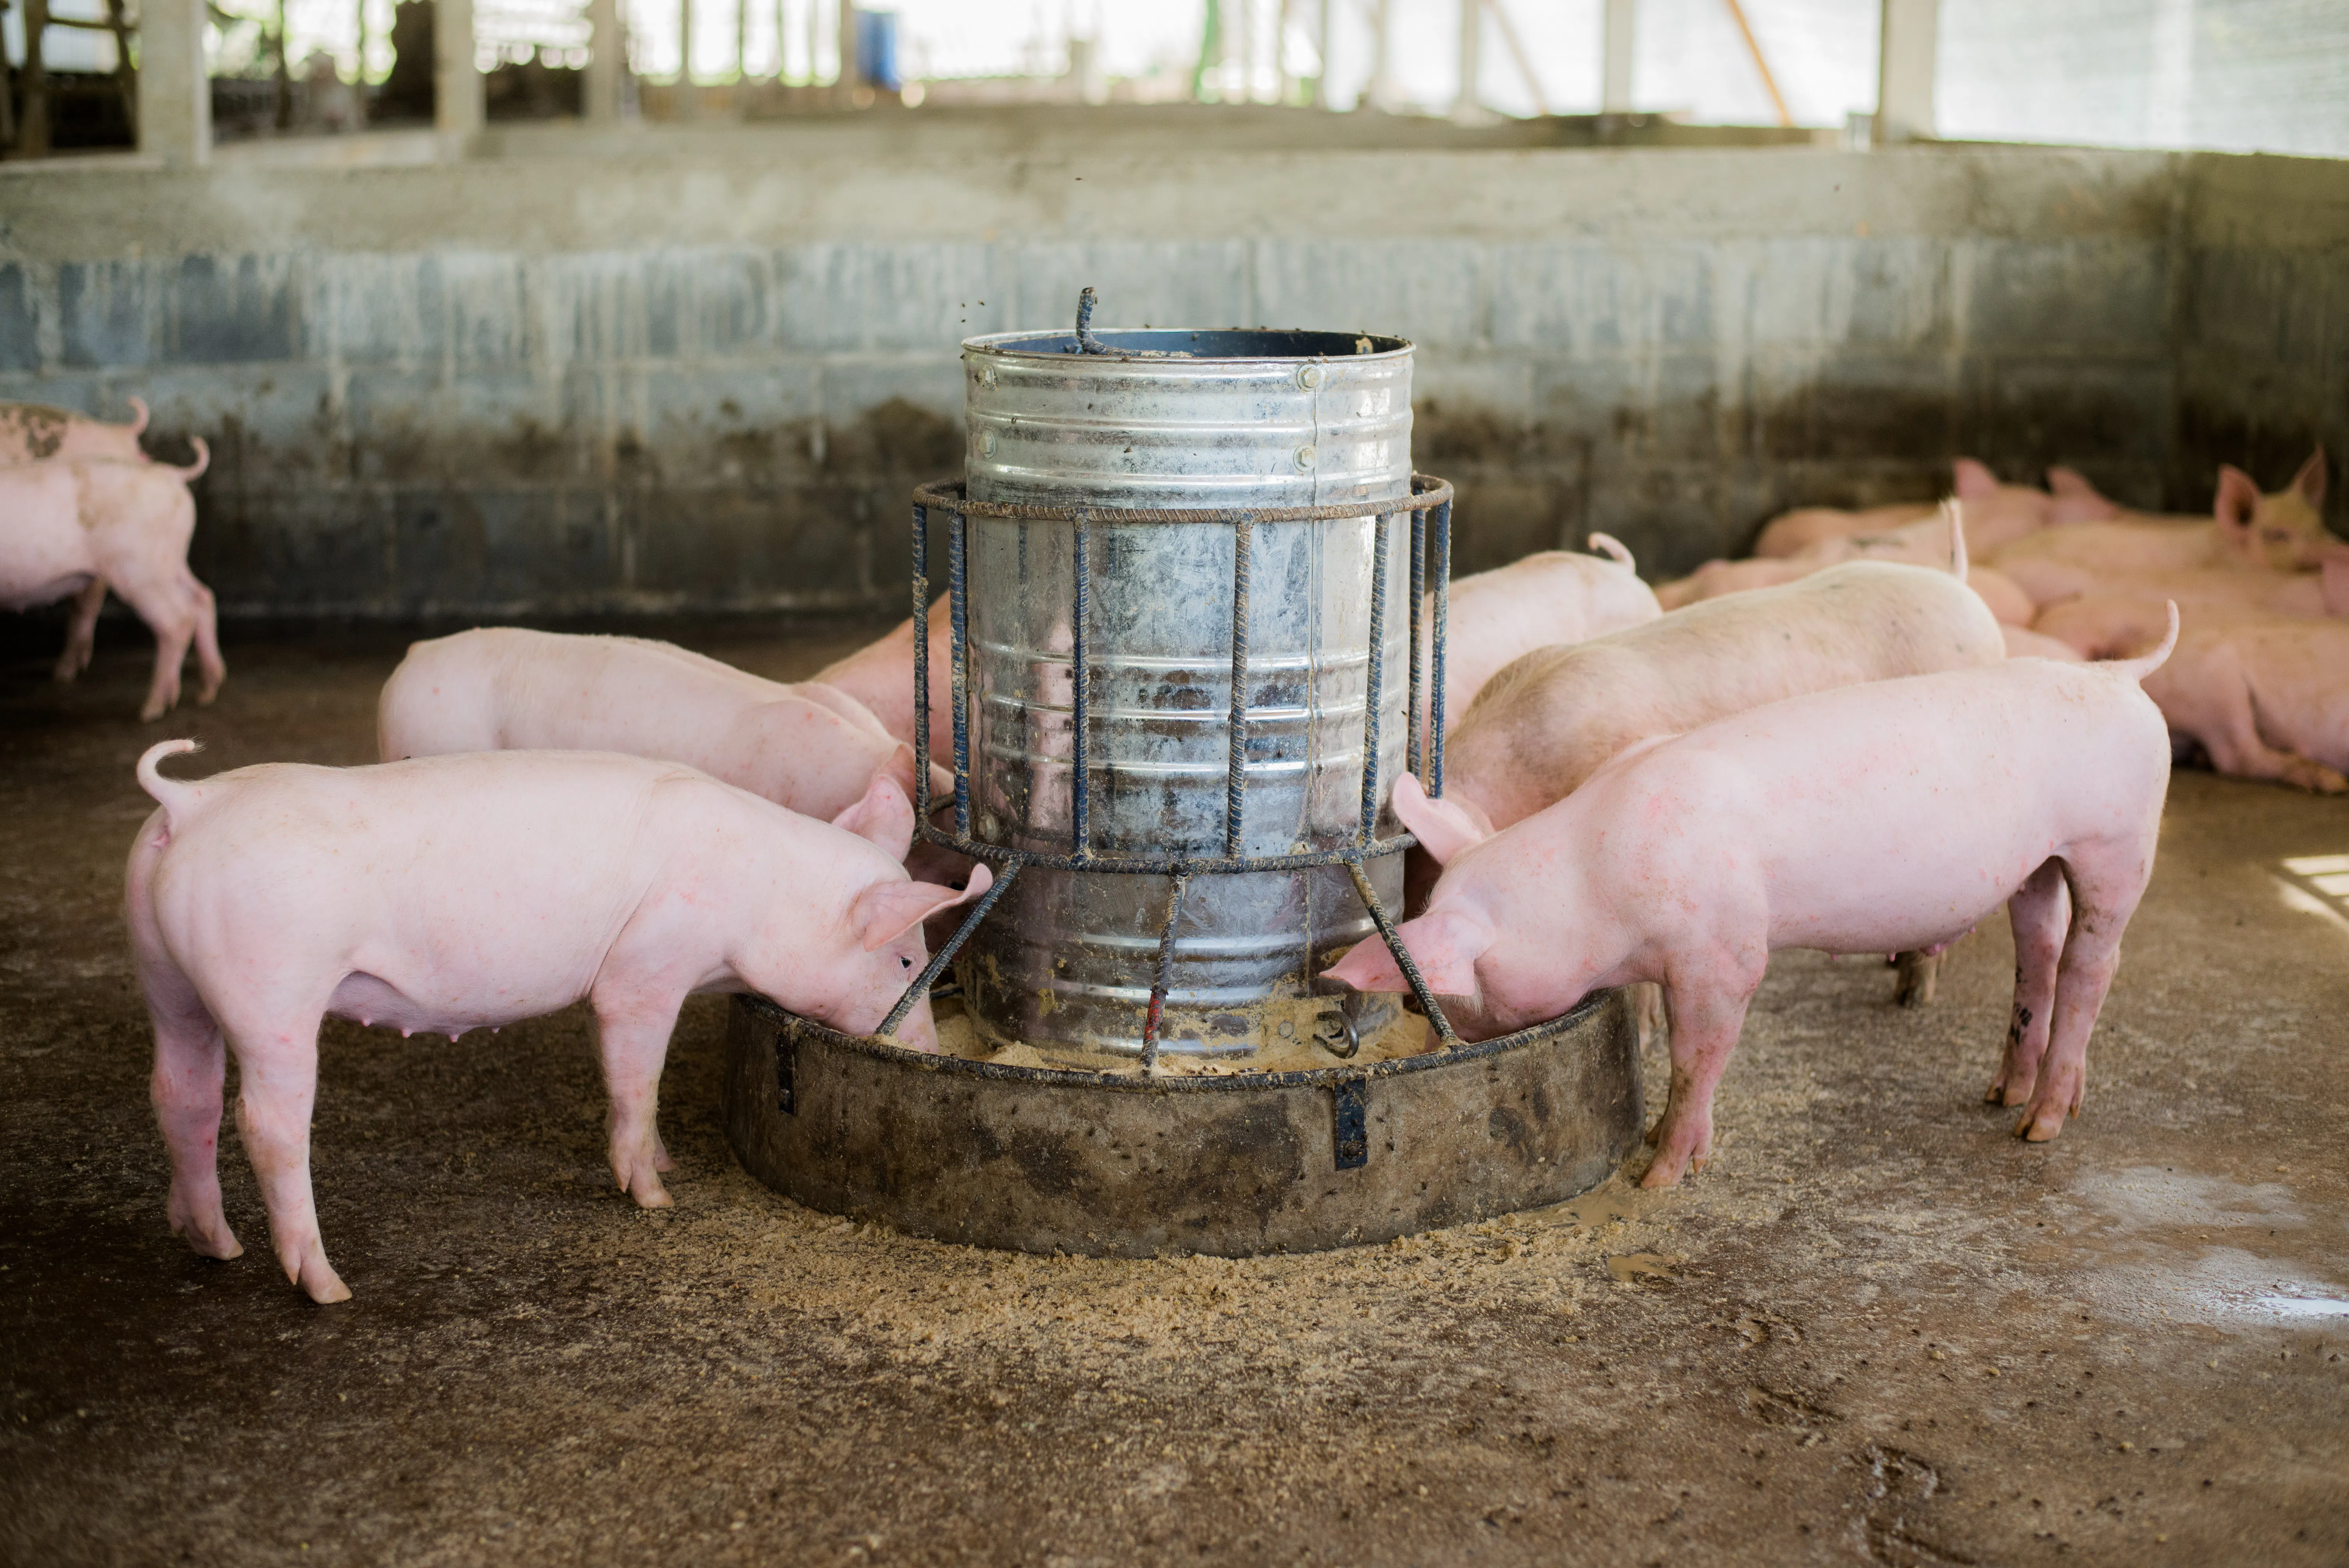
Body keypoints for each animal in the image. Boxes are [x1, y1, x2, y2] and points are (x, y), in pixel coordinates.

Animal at [0, 444, 223, 720]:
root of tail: (168, 473)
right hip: (169, 561)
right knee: (202, 597)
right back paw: (206, 692)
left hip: (139, 568)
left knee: (177, 620)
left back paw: (151, 710)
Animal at [128, 740, 990, 1303]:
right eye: (907, 961)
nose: (923, 1046)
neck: (762, 898)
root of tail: (191, 801)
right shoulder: (646, 968)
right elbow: (637, 1074)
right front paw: (656, 1197)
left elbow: (615, 1075)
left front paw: (666, 1164)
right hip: (272, 986)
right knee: (267, 1122)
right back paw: (326, 1285)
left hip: (168, 975)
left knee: (179, 1093)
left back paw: (210, 1242)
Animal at [1327, 609, 2179, 1185]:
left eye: (1443, 978)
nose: (1429, 1023)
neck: (1597, 878)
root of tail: (2122, 674)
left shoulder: (1723, 952)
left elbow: (1696, 1056)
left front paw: (1658, 1175)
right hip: (2039, 863)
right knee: (2038, 950)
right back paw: (2003, 1095)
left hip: (2117, 841)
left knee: (2091, 966)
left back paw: (2039, 1127)